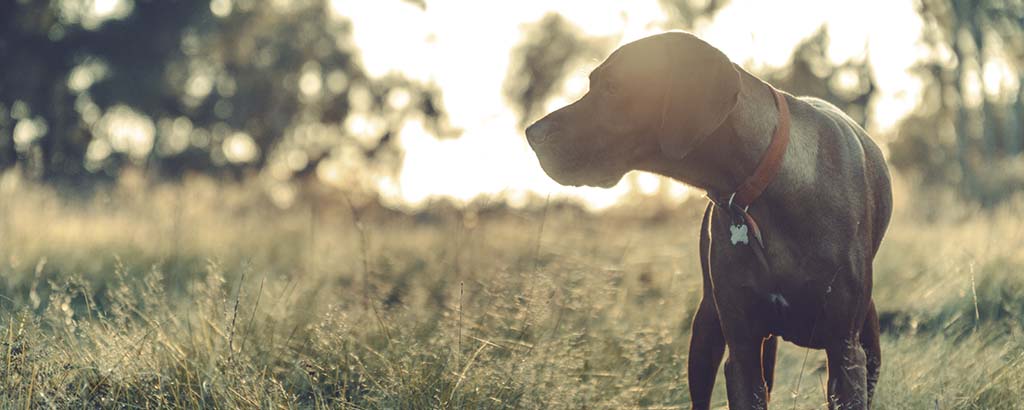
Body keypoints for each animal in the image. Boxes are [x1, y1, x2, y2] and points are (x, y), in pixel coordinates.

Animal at [524, 32, 892, 410]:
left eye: (611, 87)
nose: (531, 133)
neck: (763, 189)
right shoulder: (742, 353)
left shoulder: (845, 354)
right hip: (706, 329)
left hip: (868, 347)